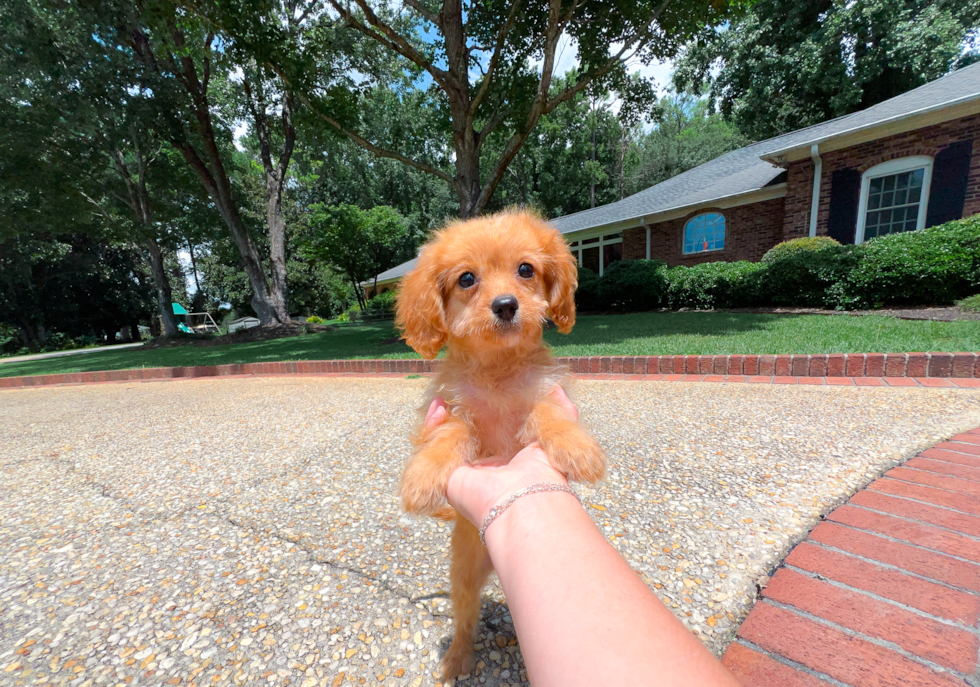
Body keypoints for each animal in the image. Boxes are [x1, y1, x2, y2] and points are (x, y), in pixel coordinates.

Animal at [390, 207, 604, 680]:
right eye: (467, 279)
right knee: (465, 619)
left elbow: (547, 413)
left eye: (525, 269)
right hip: (465, 578)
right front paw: (424, 476)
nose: (506, 305)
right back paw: (456, 659)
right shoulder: (451, 409)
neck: (497, 369)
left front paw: (578, 448)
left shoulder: (542, 394)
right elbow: (452, 434)